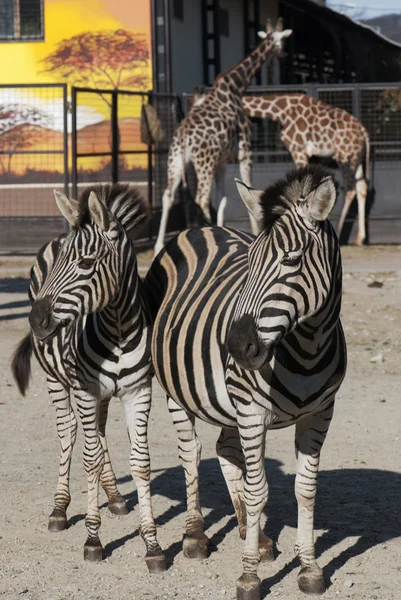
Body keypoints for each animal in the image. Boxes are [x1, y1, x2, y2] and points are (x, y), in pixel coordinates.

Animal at [11, 183, 166, 572]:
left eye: (85, 263)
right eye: (59, 264)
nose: (35, 321)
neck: (119, 328)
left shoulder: (139, 392)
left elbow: (140, 462)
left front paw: (152, 544)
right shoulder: (84, 389)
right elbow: (89, 458)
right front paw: (93, 538)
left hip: (102, 393)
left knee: (98, 430)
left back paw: (114, 496)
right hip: (57, 380)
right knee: (70, 431)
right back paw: (60, 508)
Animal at [145, 165, 346, 600]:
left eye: (292, 260)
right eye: (250, 261)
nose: (235, 346)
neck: (307, 347)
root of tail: (199, 227)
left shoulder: (320, 414)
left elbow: (305, 489)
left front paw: (309, 568)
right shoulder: (253, 412)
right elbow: (259, 491)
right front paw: (249, 576)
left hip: (228, 402)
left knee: (225, 450)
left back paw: (255, 535)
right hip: (177, 391)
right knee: (191, 452)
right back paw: (195, 536)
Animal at [153, 21, 290, 254]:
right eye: (281, 40)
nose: (283, 55)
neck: (236, 86)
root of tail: (184, 138)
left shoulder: (222, 161)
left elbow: (222, 199)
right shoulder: (245, 151)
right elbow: (248, 189)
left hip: (177, 162)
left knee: (168, 196)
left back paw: (159, 245)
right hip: (203, 163)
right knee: (201, 198)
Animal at [241, 92, 368, 246]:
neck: (282, 111)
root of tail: (364, 133)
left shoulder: (298, 149)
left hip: (345, 157)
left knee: (351, 188)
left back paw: (339, 231)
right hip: (358, 159)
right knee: (362, 187)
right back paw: (360, 238)